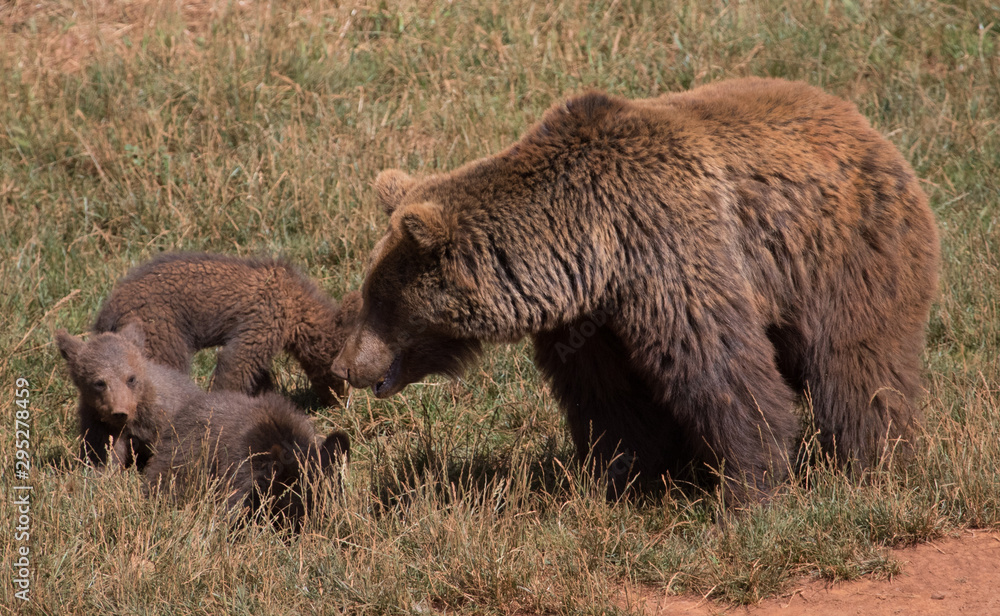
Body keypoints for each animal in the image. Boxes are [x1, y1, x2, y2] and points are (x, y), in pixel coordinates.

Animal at [56, 323, 202, 470]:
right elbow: (102, 457)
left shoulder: (162, 418)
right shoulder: (98, 425)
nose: (120, 412)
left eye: (131, 379)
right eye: (99, 383)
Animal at [93, 252, 362, 406]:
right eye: (340, 371)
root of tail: (109, 306)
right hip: (158, 324)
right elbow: (236, 363)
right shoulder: (265, 318)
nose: (340, 402)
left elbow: (256, 374)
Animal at [330, 77, 940, 503]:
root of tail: (865, 124)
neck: (591, 248)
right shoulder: (591, 319)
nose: (344, 365)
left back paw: (870, 462)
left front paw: (748, 488)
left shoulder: (668, 252)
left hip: (840, 255)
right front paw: (624, 476)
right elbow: (610, 397)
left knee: (856, 362)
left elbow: (721, 369)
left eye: (380, 301)